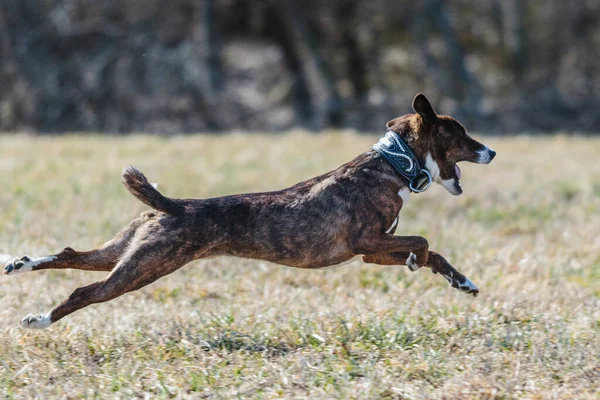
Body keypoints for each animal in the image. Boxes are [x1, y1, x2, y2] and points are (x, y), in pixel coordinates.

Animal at [2, 94, 494, 332]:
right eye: (460, 134)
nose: (491, 151)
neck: (391, 164)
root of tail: (172, 206)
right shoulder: (366, 243)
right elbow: (423, 244)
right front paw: (418, 261)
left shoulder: (373, 252)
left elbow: (432, 253)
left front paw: (462, 281)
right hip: (142, 268)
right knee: (84, 291)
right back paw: (39, 321)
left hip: (126, 253)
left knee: (71, 256)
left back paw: (19, 263)